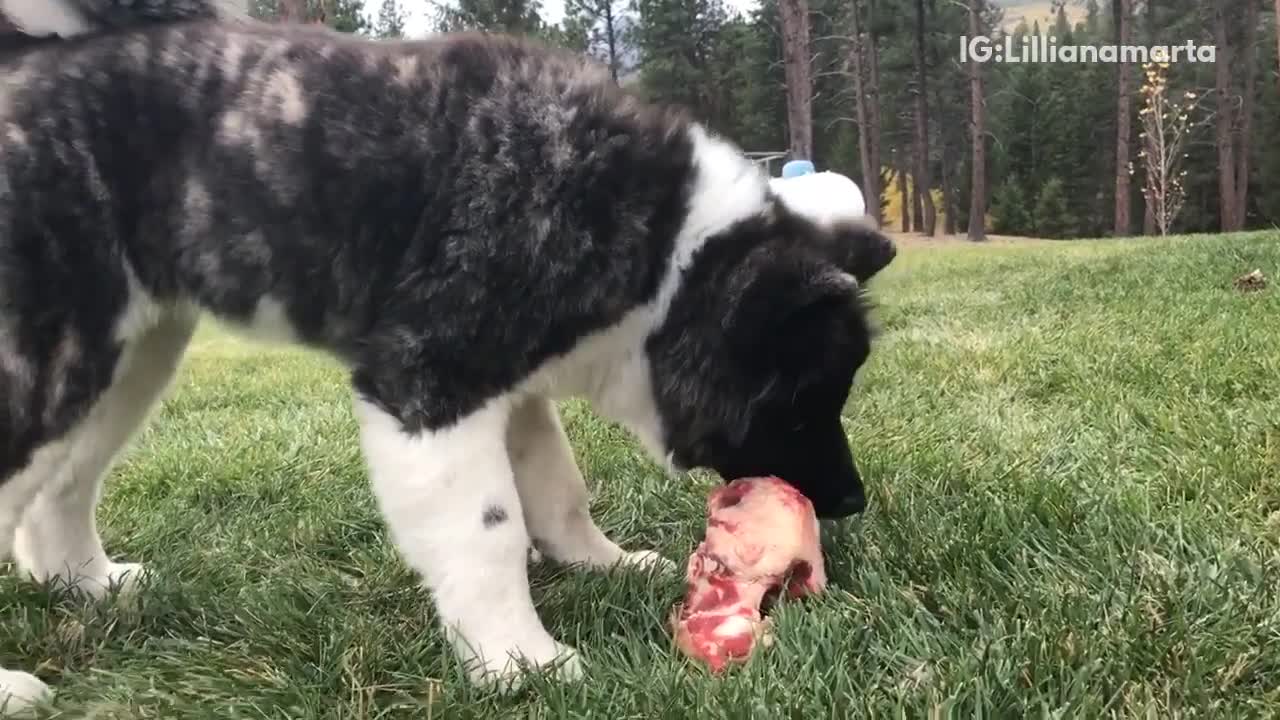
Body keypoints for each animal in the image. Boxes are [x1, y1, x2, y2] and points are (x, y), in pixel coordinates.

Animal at [0, 0, 896, 707]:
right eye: (801, 402)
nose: (851, 502)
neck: (669, 250)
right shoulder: (429, 389)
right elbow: (487, 532)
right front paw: (521, 662)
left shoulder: (511, 388)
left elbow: (557, 487)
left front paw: (599, 563)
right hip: (51, 358)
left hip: (128, 353)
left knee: (62, 487)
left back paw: (86, 583)